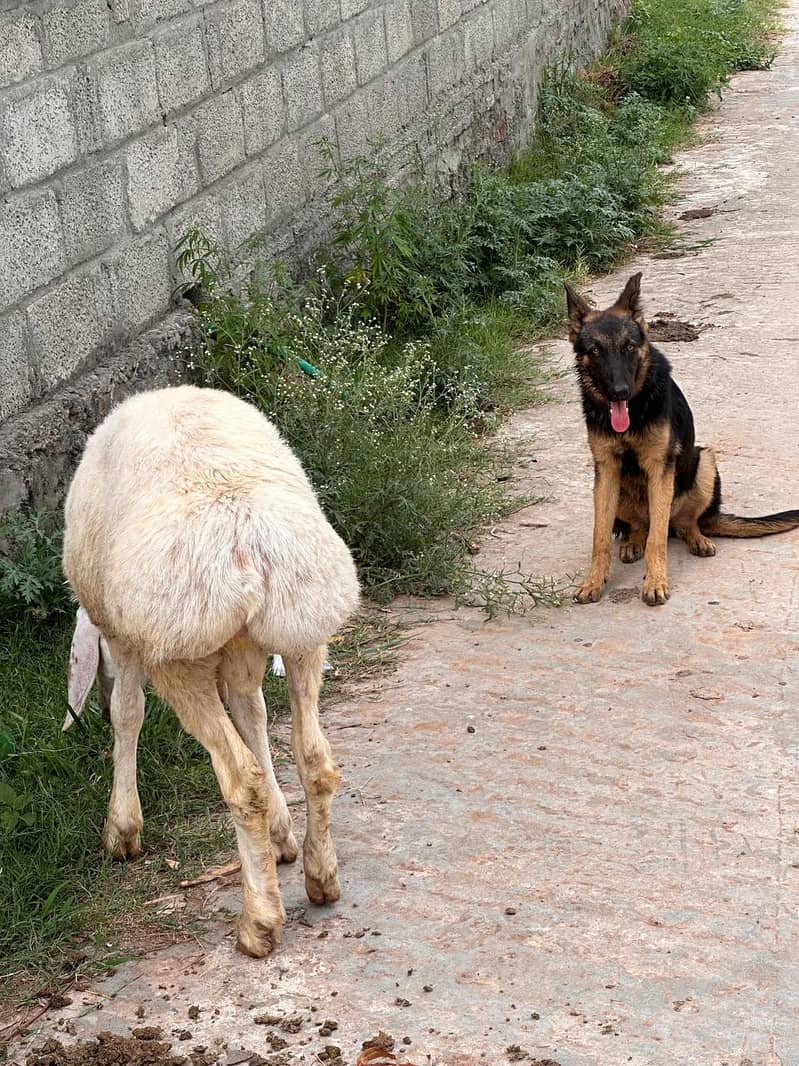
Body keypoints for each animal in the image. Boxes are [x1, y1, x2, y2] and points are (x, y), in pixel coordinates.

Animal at [62, 384, 360, 958]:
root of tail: (247, 540)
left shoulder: (128, 640)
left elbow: (127, 713)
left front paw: (122, 829)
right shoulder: (244, 653)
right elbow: (255, 716)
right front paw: (281, 836)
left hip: (178, 654)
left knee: (241, 780)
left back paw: (259, 922)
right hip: (304, 624)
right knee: (314, 757)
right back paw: (321, 876)